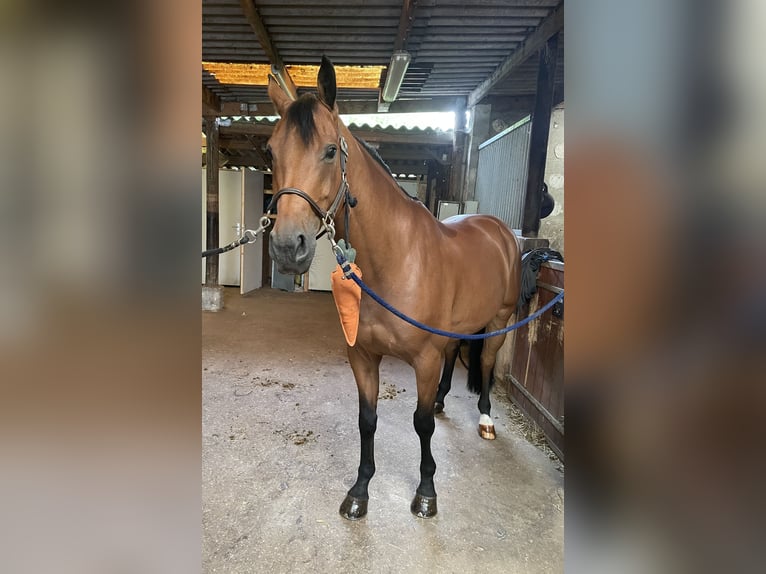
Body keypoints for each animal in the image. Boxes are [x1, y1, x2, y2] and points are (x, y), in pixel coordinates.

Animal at [266, 56, 522, 520]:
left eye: (330, 151)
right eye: (271, 152)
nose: (286, 247)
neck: (396, 261)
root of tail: (498, 229)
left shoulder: (424, 359)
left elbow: (420, 424)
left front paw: (426, 492)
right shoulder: (363, 356)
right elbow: (367, 420)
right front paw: (360, 491)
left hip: (499, 321)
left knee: (487, 364)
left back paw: (485, 420)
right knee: (455, 356)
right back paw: (442, 401)